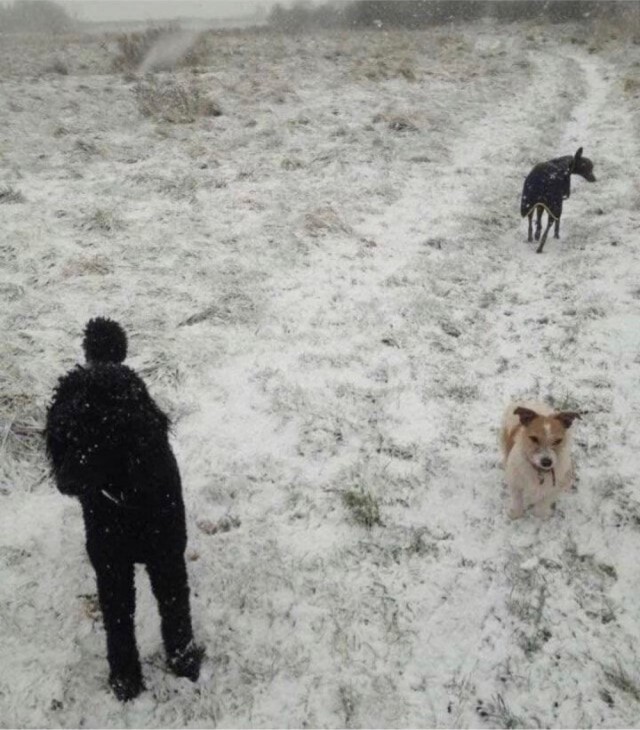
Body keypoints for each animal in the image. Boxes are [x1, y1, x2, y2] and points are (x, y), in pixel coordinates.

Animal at [45, 318, 202, 700]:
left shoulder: (166, 557)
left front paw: (185, 663)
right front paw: (126, 678)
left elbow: (175, 611)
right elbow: (117, 623)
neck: (129, 501)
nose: (63, 480)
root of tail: (103, 362)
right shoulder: (111, 564)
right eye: (62, 434)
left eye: (100, 436)